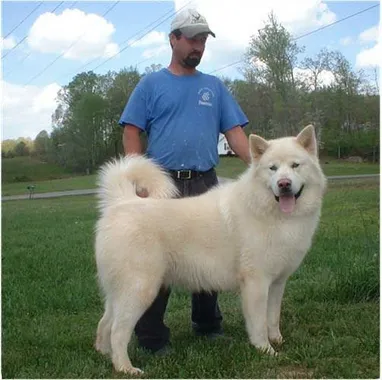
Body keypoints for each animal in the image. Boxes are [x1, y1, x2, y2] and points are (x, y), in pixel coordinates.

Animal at [92, 124, 326, 374]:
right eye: (272, 168)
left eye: (295, 165)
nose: (283, 184)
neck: (272, 213)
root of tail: (121, 202)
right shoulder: (256, 283)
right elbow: (259, 324)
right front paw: (266, 350)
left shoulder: (277, 283)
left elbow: (272, 318)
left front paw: (277, 340)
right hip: (140, 289)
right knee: (118, 331)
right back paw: (125, 368)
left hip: (120, 292)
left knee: (105, 323)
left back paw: (104, 355)